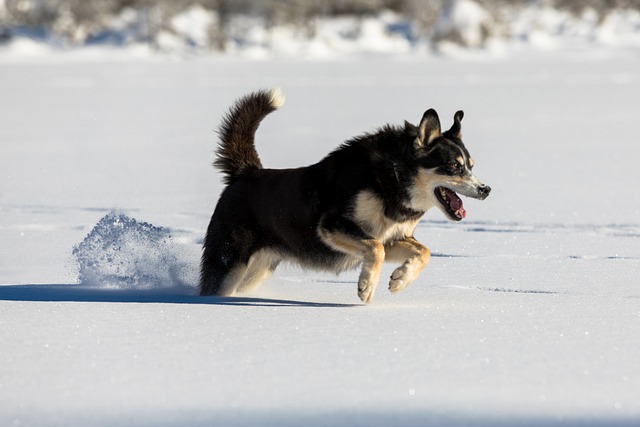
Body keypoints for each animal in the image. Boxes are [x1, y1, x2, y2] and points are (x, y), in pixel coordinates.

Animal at [200, 89, 490, 304]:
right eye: (453, 166)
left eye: (471, 165)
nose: (486, 190)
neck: (393, 176)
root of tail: (247, 172)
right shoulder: (333, 225)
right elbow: (375, 248)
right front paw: (367, 286)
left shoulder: (392, 237)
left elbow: (423, 251)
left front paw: (400, 279)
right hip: (229, 265)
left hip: (257, 269)